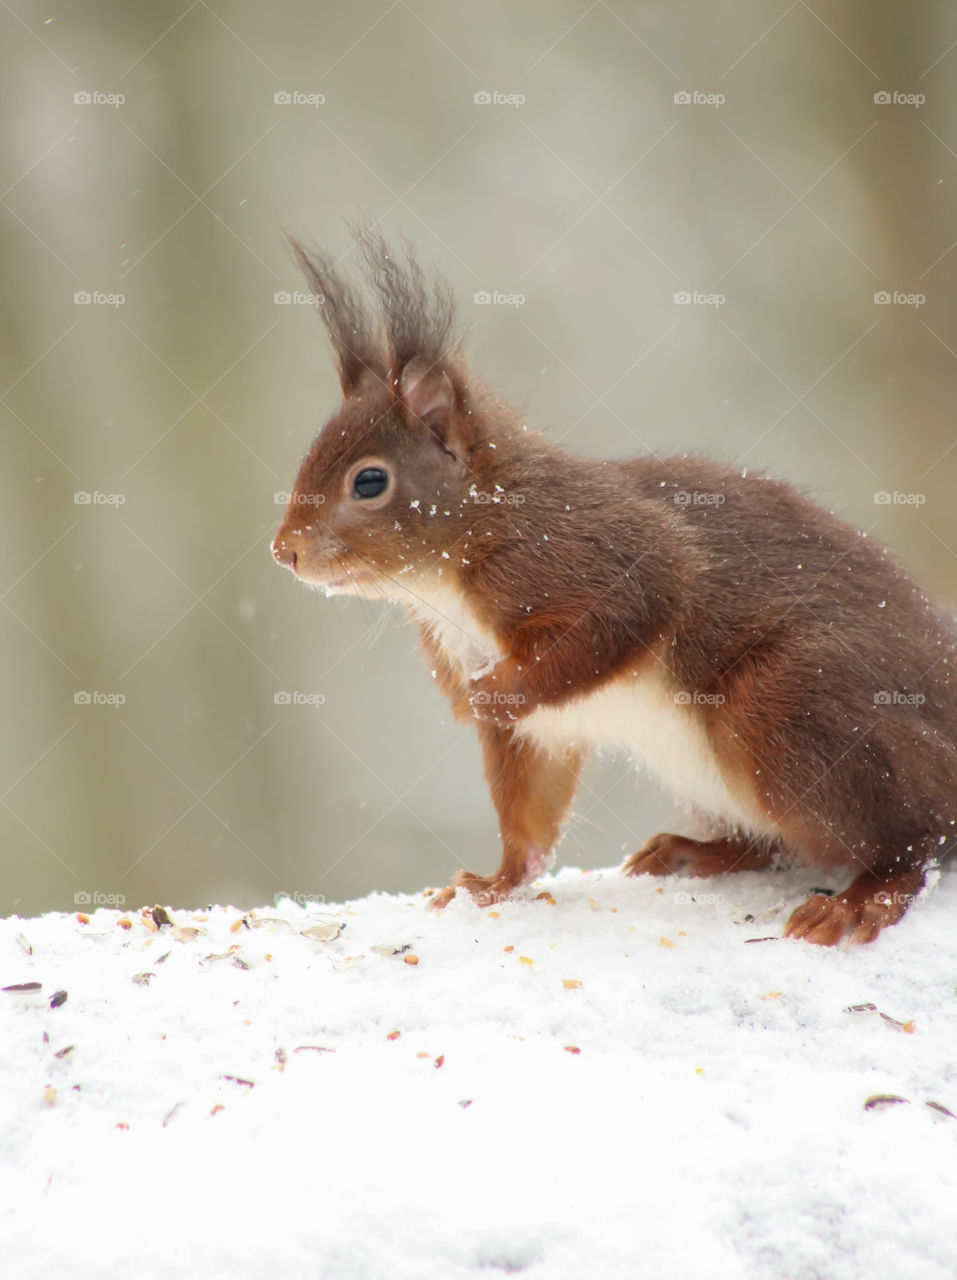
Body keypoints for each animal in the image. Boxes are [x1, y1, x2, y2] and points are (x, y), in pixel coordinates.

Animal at [272, 231, 957, 945]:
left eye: (369, 482)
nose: (283, 551)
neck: (453, 568)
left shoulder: (589, 558)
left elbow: (622, 619)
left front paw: (491, 695)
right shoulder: (522, 715)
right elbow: (530, 811)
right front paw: (493, 884)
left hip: (793, 706)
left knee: (913, 840)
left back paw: (863, 897)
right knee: (779, 846)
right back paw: (697, 851)